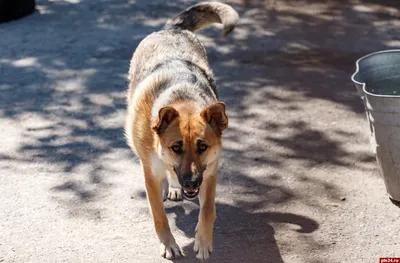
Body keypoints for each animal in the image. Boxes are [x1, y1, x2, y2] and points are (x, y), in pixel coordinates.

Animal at [124, 1, 238, 262]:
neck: (182, 99)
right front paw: (168, 244)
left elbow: (208, 210)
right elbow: (159, 216)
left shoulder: (210, 171)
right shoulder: (151, 174)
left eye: (203, 146)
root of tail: (171, 30)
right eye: (176, 147)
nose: (191, 182)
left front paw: (203, 241)